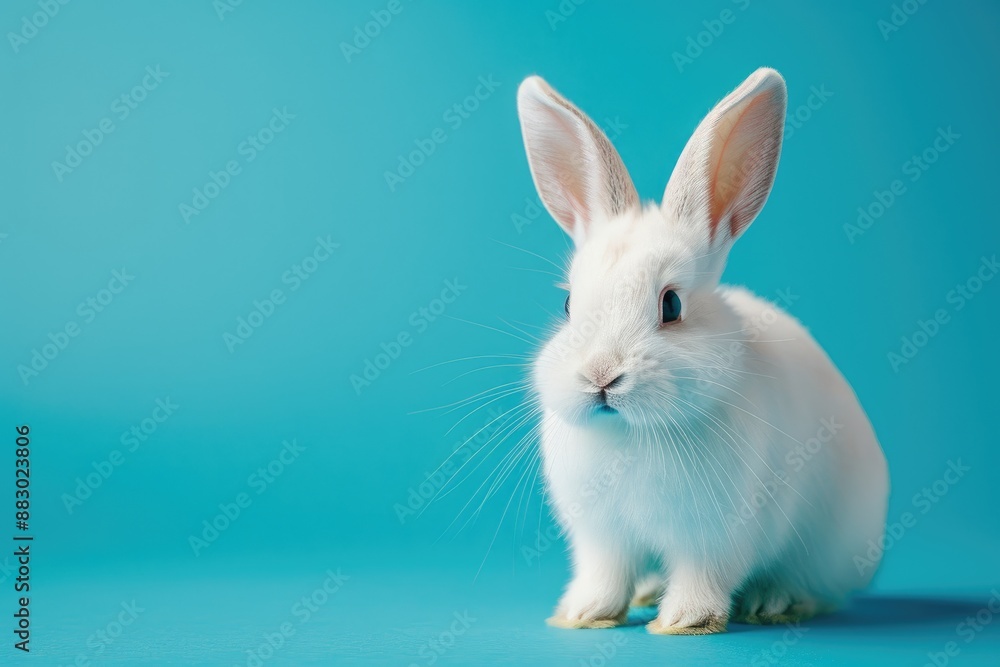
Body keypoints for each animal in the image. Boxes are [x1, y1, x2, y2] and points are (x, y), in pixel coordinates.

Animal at [516, 68, 889, 635]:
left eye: (671, 304)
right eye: (568, 304)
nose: (601, 376)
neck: (633, 434)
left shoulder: (716, 538)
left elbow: (702, 577)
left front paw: (684, 623)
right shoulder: (602, 539)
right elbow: (604, 576)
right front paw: (582, 615)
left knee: (816, 587)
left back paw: (774, 602)